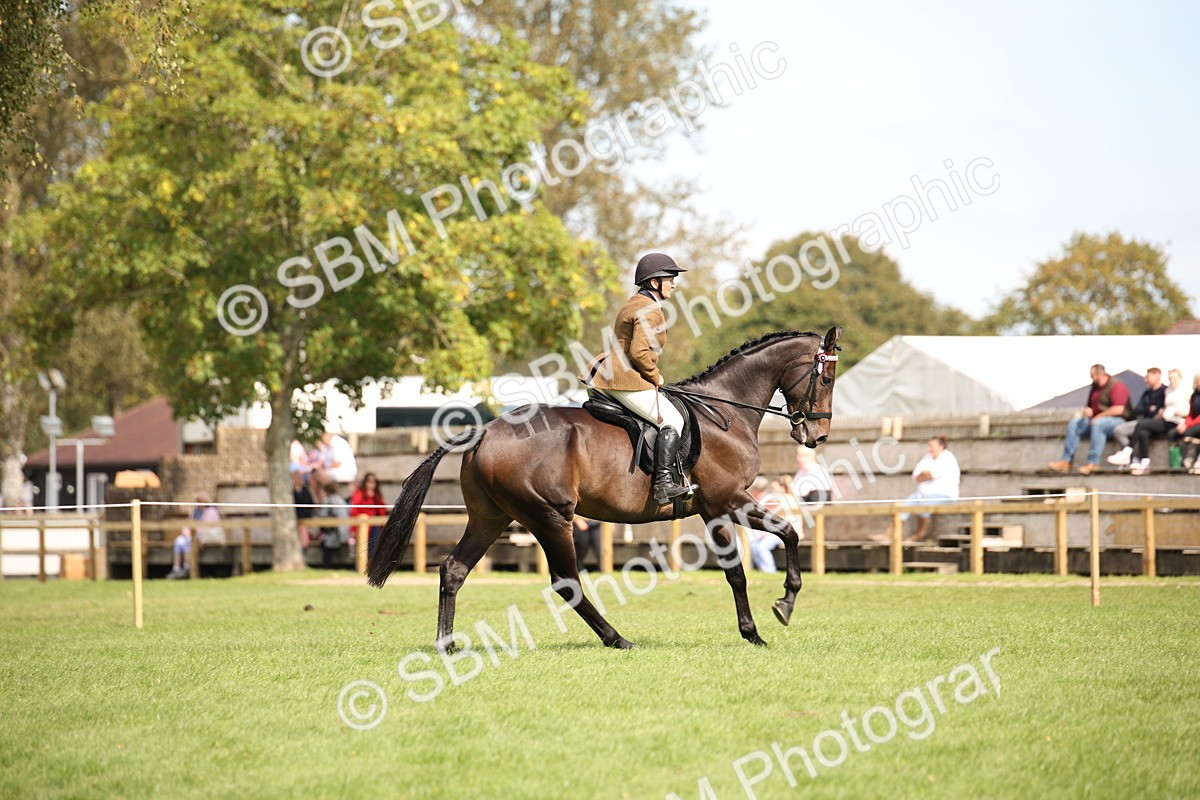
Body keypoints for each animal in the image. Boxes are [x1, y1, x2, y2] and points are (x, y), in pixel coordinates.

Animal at [368, 326, 842, 649]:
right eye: (826, 379)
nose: (817, 436)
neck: (725, 414)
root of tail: (483, 430)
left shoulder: (717, 508)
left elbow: (761, 552)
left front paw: (765, 620)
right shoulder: (726, 501)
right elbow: (767, 549)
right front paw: (775, 613)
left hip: (491, 517)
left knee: (453, 569)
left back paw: (446, 645)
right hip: (550, 517)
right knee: (567, 582)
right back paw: (618, 639)